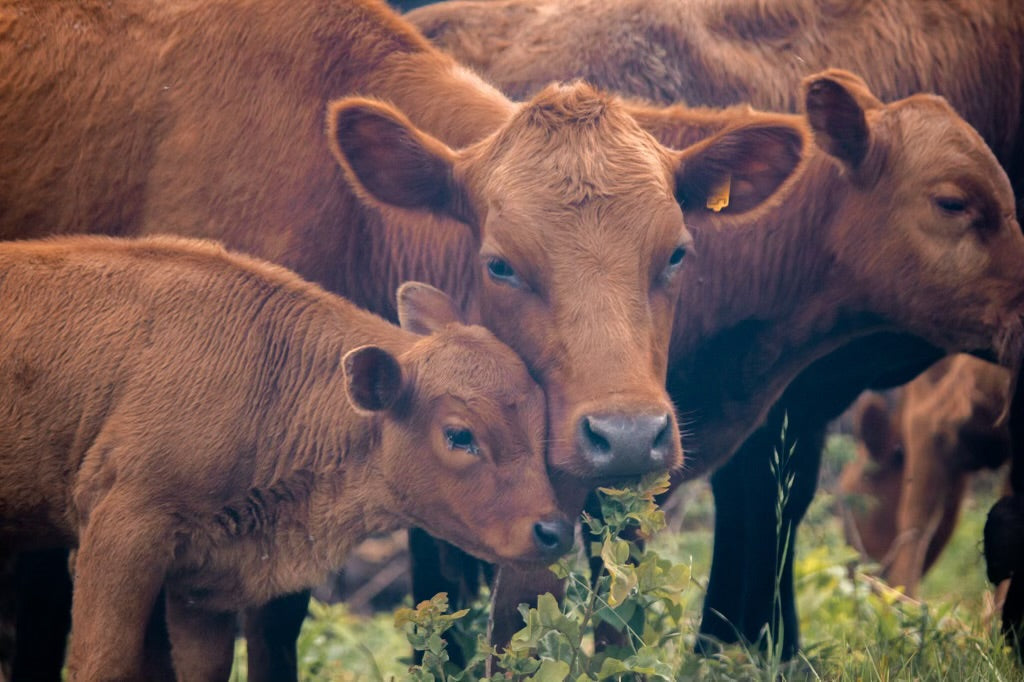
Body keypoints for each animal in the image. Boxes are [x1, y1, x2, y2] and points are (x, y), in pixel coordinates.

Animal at [0, 234, 577, 680]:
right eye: (459, 434)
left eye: (540, 419)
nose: (553, 530)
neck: (267, 376)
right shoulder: (119, 538)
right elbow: (101, 663)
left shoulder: (200, 583)